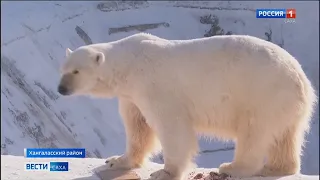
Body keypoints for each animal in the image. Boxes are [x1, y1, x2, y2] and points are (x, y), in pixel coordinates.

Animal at [57, 33, 318, 179]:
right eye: (63, 69)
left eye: (76, 71)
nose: (61, 89)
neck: (129, 64)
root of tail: (303, 81)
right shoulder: (132, 95)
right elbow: (137, 126)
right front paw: (116, 160)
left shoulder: (156, 86)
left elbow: (172, 127)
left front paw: (164, 172)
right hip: (284, 103)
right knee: (286, 135)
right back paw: (277, 168)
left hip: (262, 93)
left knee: (254, 132)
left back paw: (233, 167)